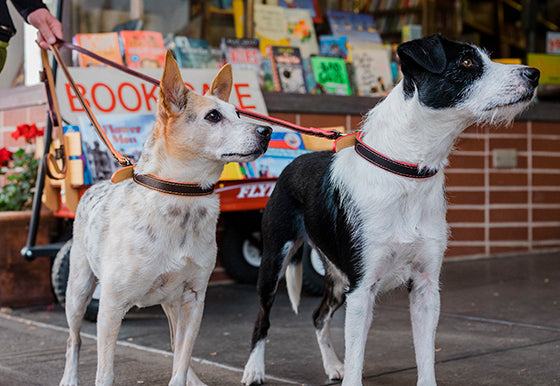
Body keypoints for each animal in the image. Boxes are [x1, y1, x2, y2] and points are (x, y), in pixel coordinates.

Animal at [241, 34, 540, 384]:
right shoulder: (362, 289)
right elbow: (356, 360)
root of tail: (293, 162)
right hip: (275, 262)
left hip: (339, 278)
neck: (407, 173)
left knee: (318, 316)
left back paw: (332, 364)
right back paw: (254, 369)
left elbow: (425, 355)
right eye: (466, 62)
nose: (533, 74)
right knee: (262, 318)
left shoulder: (425, 288)